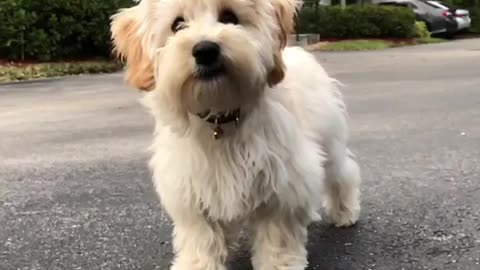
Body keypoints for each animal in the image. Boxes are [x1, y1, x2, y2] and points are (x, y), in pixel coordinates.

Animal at [110, 0, 362, 270]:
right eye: (177, 25)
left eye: (229, 17)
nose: (205, 50)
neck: (221, 115)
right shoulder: (193, 188)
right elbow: (201, 235)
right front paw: (199, 263)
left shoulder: (283, 185)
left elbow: (278, 233)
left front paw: (278, 264)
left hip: (330, 142)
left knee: (342, 173)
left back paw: (345, 212)